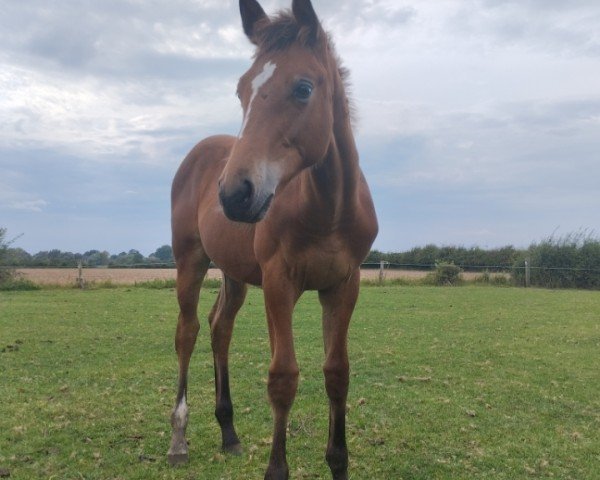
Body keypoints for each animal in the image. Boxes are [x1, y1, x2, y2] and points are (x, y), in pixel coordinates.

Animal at [166, 1, 378, 478]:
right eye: (242, 89)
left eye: (303, 88)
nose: (233, 193)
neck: (326, 209)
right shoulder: (279, 283)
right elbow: (283, 376)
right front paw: (276, 468)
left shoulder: (344, 284)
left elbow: (337, 373)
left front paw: (338, 461)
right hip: (191, 260)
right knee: (188, 331)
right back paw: (179, 438)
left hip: (234, 273)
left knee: (219, 327)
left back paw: (228, 431)